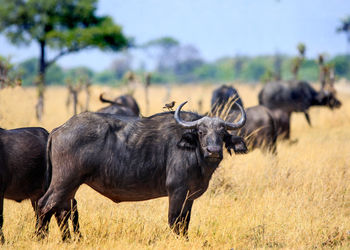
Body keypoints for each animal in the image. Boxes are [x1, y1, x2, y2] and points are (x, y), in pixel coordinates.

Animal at [37, 101, 247, 240]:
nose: (213, 151)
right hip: (64, 181)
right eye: (201, 132)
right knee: (45, 205)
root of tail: (60, 129)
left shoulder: (189, 196)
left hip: (71, 185)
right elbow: (175, 221)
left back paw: (70, 239)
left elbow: (185, 223)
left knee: (62, 210)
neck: (194, 151)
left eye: (222, 134)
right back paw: (41, 237)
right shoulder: (177, 191)